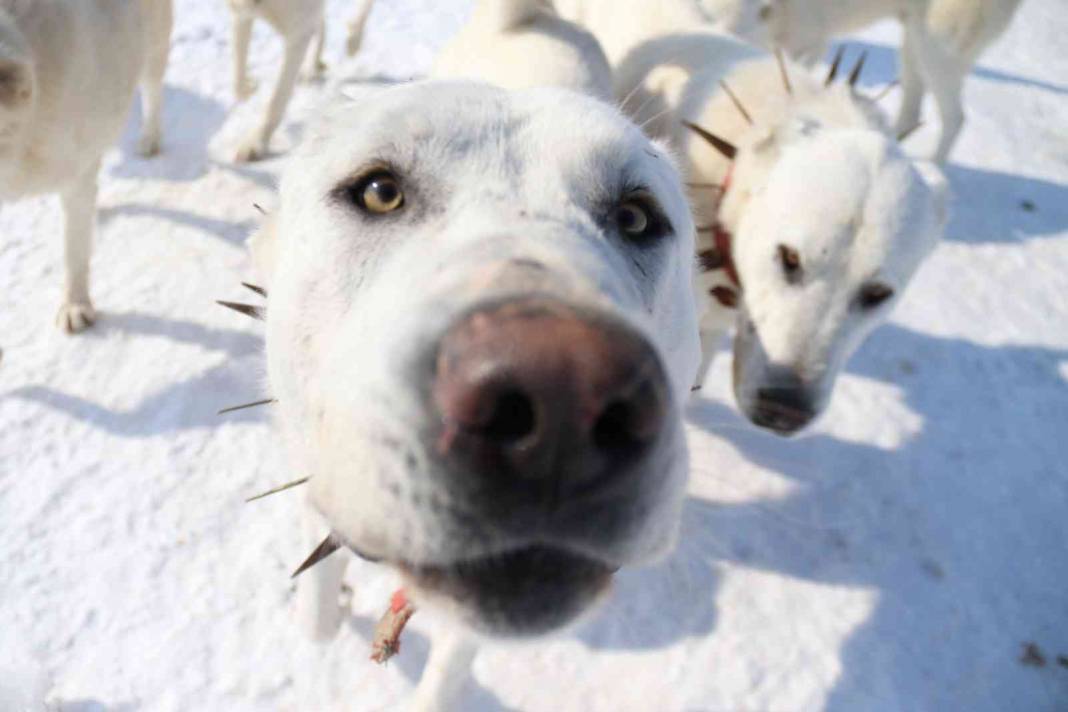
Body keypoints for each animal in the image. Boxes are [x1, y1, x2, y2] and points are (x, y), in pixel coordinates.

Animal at [0, 0, 170, 335]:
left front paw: (74, 305)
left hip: (154, 43)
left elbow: (74, 251)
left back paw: (150, 138)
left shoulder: (74, 176)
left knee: (152, 89)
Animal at [225, 0, 324, 162]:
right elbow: (238, 78)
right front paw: (250, 86)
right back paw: (313, 67)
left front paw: (256, 142)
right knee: (322, 24)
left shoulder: (298, 33)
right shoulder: (240, 14)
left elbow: (276, 101)